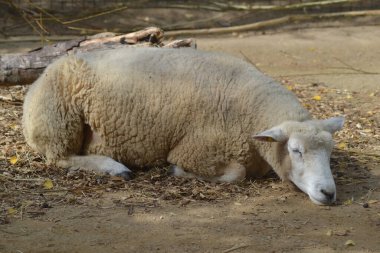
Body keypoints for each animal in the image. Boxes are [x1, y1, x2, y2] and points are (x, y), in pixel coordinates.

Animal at [23, 47, 344, 206]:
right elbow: (235, 174)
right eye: (295, 151)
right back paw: (114, 167)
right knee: (61, 158)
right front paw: (178, 172)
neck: (251, 110)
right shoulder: (196, 148)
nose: (329, 193)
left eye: (330, 153)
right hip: (58, 120)